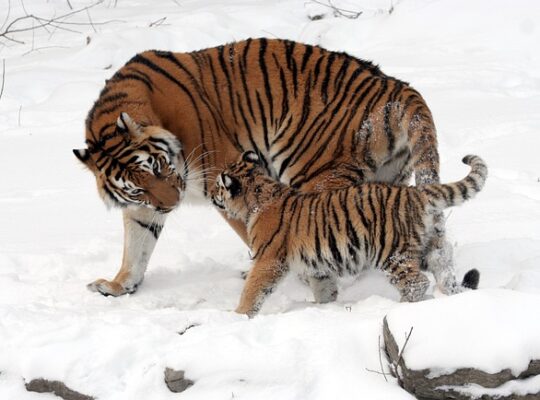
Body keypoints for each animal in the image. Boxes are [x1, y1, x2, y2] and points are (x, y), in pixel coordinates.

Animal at [74, 39, 462, 298]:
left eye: (156, 166)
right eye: (136, 187)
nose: (172, 204)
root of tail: (397, 87)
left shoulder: (224, 175)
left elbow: (257, 233)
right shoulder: (144, 206)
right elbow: (136, 244)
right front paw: (118, 285)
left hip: (315, 173)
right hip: (389, 179)